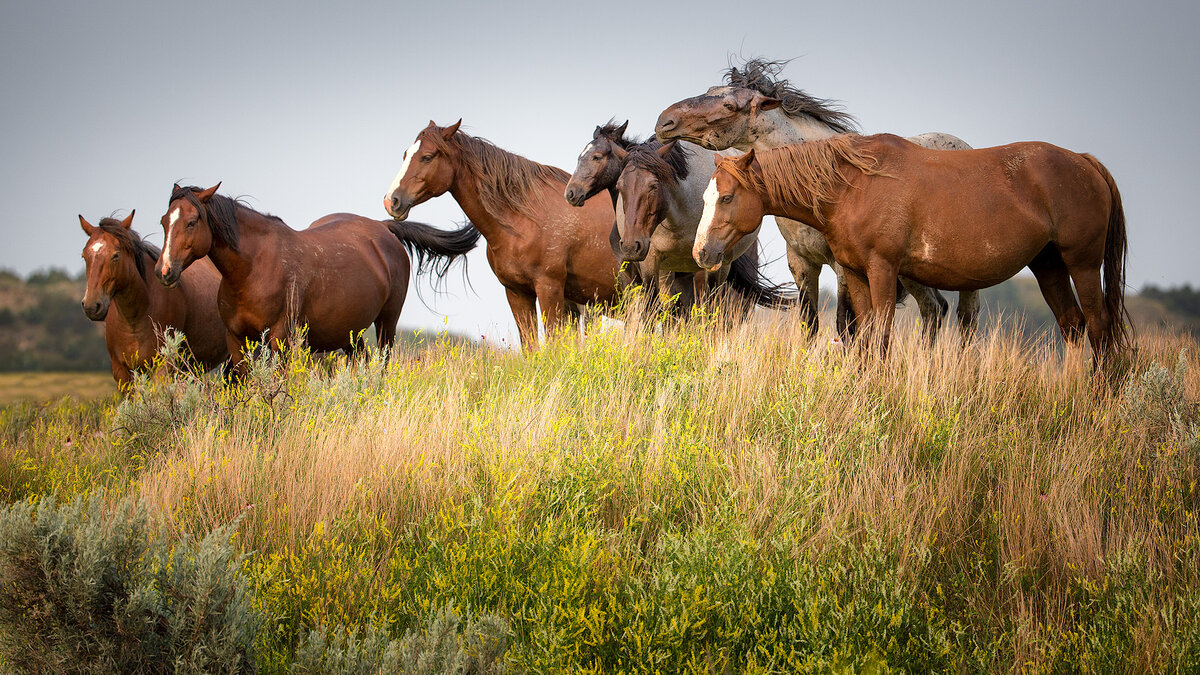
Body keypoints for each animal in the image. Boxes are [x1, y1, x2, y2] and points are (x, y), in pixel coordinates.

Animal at [79, 210, 226, 384]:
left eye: (116, 255)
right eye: (84, 256)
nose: (91, 306)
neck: (134, 320)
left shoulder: (163, 366)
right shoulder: (121, 371)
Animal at [157, 182, 480, 367]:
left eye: (192, 221)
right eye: (164, 221)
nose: (165, 270)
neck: (252, 270)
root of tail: (382, 227)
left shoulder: (280, 339)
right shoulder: (236, 340)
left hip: (387, 322)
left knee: (383, 364)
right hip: (351, 332)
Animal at [384, 118, 628, 345]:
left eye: (427, 156)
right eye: (406, 155)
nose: (391, 201)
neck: (525, 219)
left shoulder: (550, 289)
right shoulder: (516, 292)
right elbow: (530, 346)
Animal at [657, 57, 974, 338]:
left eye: (729, 106)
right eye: (710, 90)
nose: (664, 122)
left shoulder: (844, 268)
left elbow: (847, 325)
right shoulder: (802, 264)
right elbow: (809, 324)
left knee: (965, 319)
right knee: (934, 309)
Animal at [700, 134, 1128, 365]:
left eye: (727, 198)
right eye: (706, 197)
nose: (702, 253)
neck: (854, 185)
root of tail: (1085, 163)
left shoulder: (882, 270)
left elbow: (882, 337)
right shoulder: (855, 273)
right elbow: (865, 338)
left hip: (1082, 265)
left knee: (1098, 326)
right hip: (1049, 265)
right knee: (1073, 326)